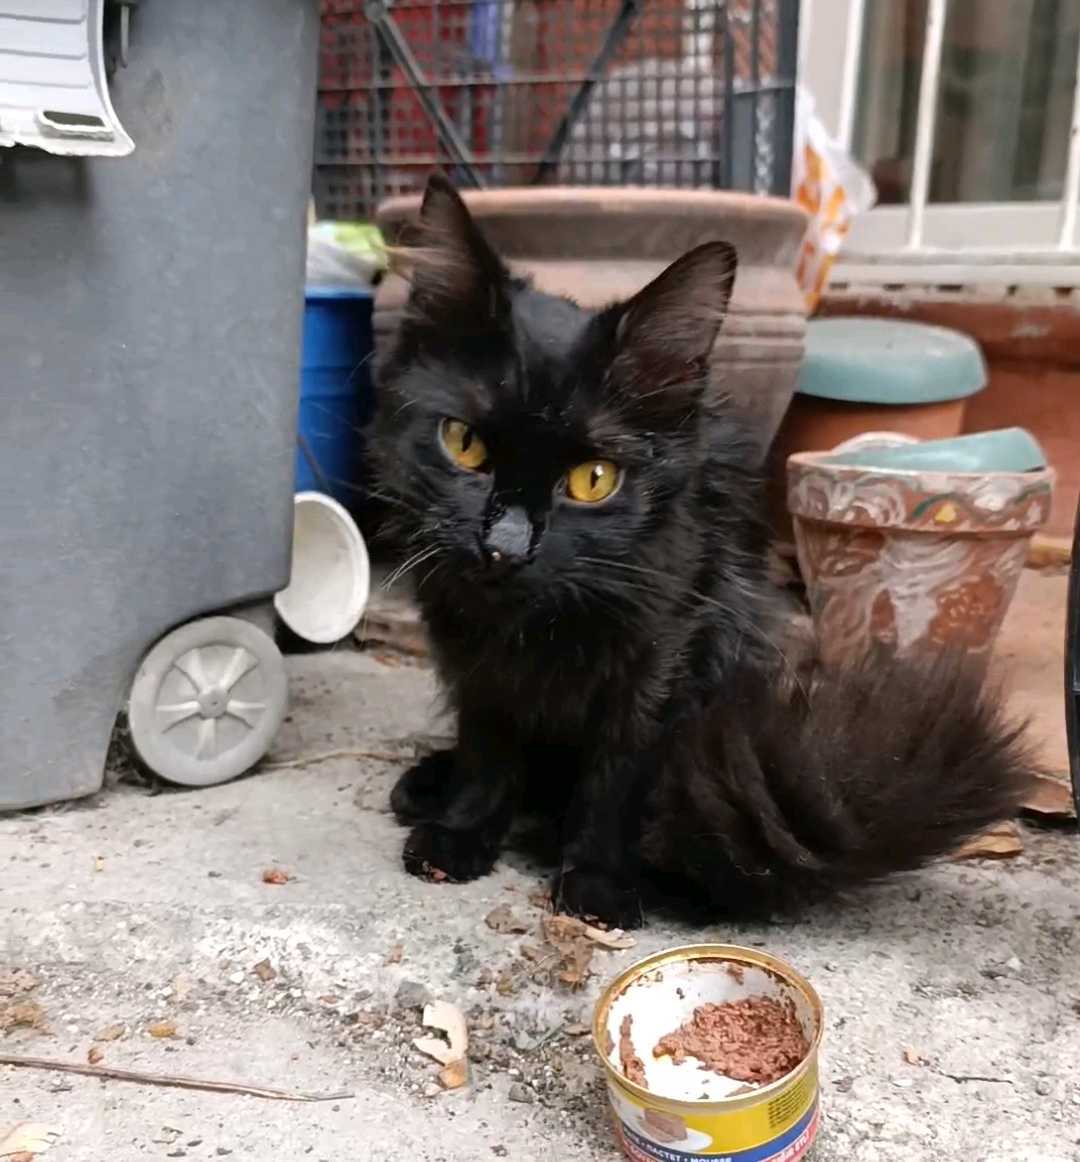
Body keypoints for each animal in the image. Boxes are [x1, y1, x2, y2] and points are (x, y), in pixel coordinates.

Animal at [369, 173, 1035, 928]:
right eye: (464, 444)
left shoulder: (664, 655)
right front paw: (461, 832)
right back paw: (432, 784)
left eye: (593, 479)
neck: (533, 628)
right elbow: (488, 746)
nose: (504, 546)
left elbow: (617, 773)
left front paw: (596, 880)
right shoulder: (474, 659)